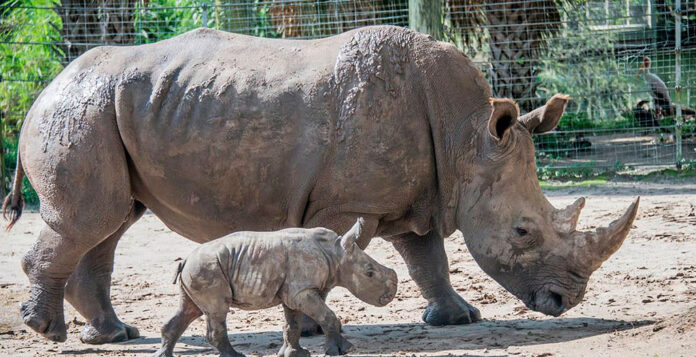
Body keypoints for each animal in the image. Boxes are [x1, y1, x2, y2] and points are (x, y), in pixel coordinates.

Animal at [156, 217, 400, 356]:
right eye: (370, 273)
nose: (391, 294)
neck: (336, 253)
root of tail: (185, 260)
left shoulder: (294, 292)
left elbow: (293, 324)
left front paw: (295, 353)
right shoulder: (301, 291)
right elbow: (327, 316)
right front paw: (341, 351)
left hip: (197, 270)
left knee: (190, 309)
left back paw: (163, 355)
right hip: (207, 269)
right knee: (216, 310)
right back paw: (235, 356)